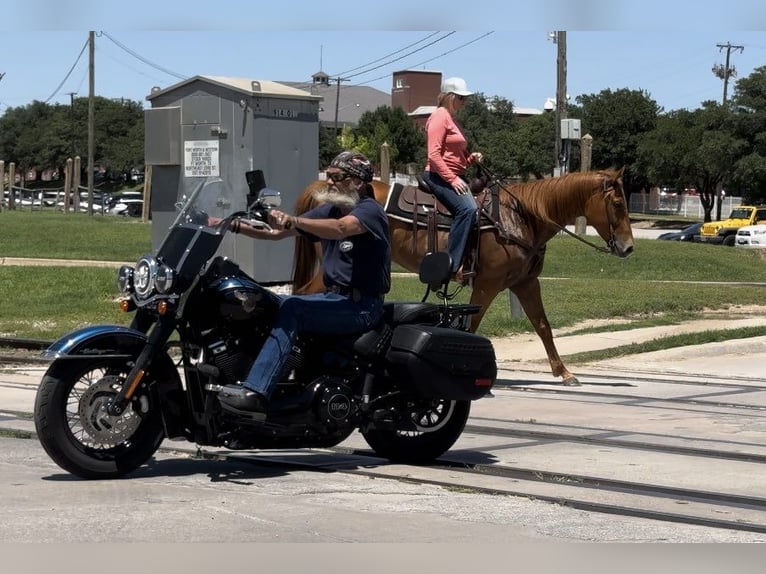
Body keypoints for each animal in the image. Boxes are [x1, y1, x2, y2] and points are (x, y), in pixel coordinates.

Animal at [292, 169, 632, 390]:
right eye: (617, 204)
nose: (628, 248)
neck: (521, 216)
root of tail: (324, 186)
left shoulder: (525, 283)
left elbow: (543, 327)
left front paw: (564, 373)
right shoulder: (487, 284)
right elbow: (473, 324)